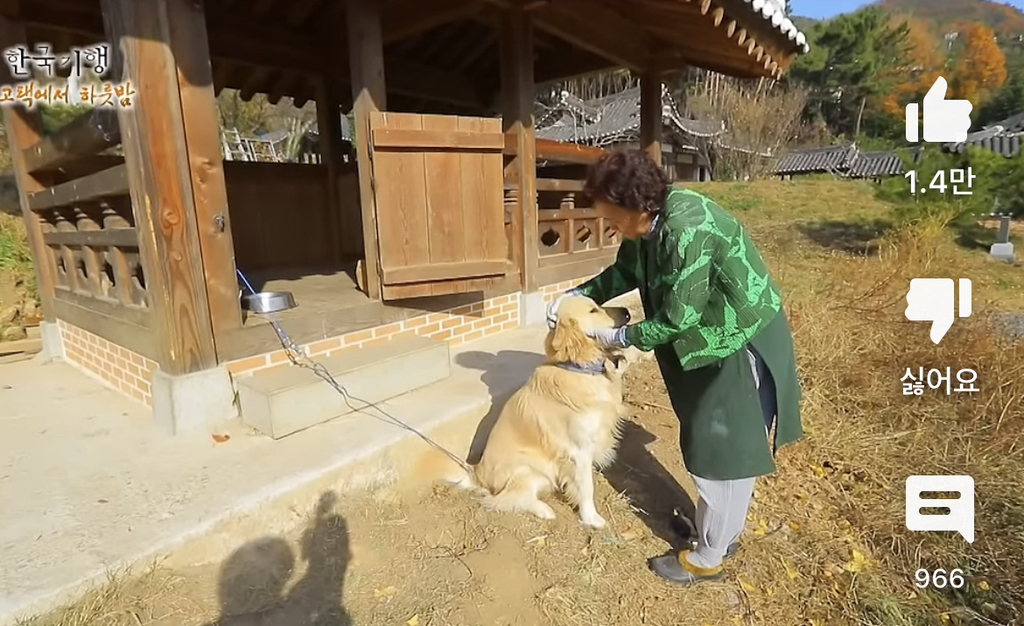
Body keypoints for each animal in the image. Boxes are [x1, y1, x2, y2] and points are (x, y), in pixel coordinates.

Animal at [448, 297, 630, 524]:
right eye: (593, 310)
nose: (627, 312)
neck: (578, 368)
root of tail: (477, 473)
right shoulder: (578, 451)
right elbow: (587, 487)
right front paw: (591, 518)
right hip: (528, 469)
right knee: (509, 498)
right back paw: (545, 510)